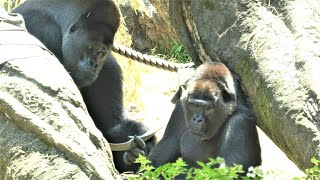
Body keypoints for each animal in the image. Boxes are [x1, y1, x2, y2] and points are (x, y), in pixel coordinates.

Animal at [13, 0, 156, 172]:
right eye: (91, 48)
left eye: (101, 53)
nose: (94, 65)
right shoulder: (43, 28)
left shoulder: (108, 66)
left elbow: (112, 127)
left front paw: (139, 150)